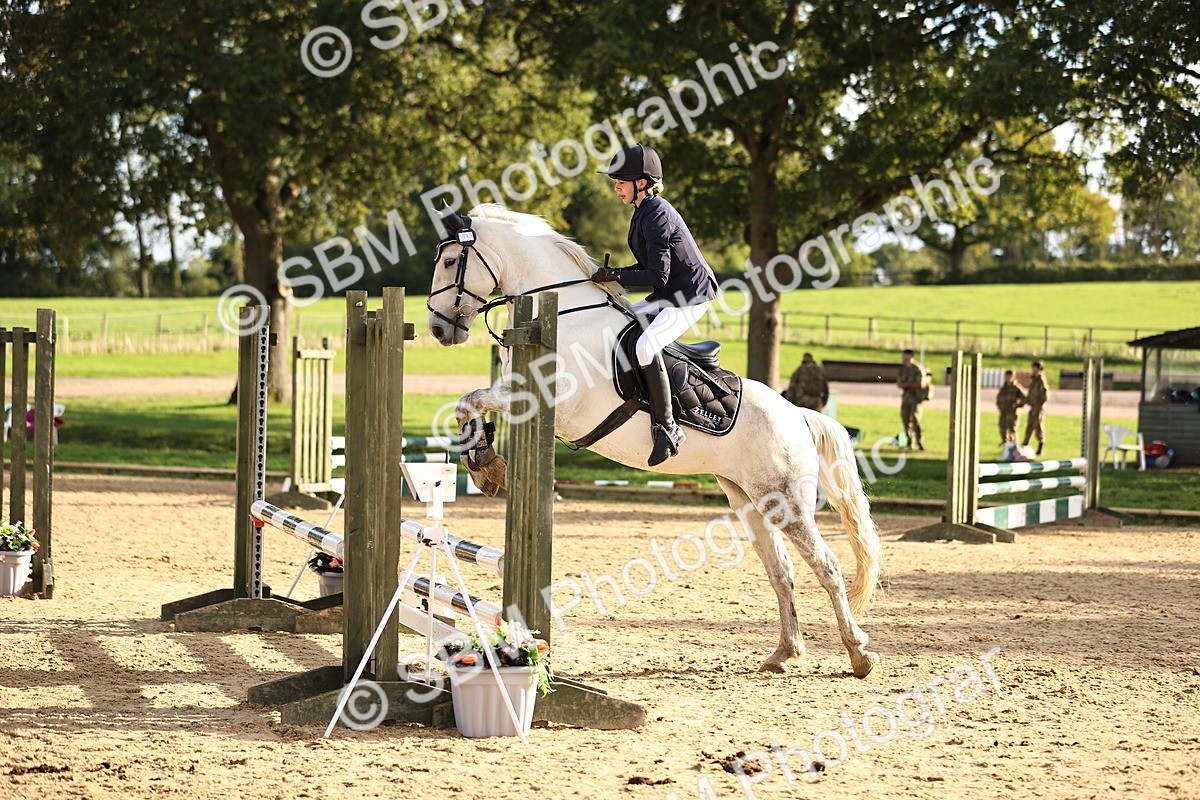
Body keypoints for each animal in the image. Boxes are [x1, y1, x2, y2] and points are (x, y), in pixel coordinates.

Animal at [426, 204, 884, 678]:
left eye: (449, 261)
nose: (438, 328)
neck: (567, 314)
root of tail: (797, 415)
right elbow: (469, 405)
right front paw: (484, 462)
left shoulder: (548, 401)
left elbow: (471, 401)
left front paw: (486, 463)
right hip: (750, 500)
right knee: (782, 571)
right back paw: (784, 653)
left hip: (787, 501)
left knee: (827, 567)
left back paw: (858, 653)